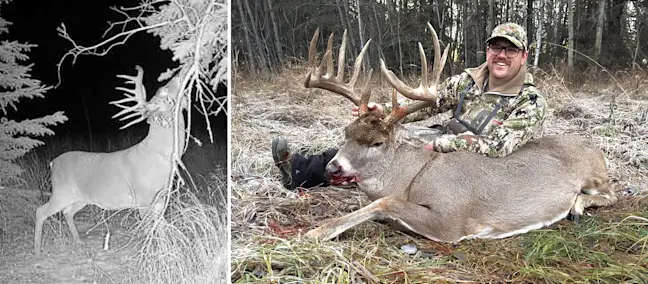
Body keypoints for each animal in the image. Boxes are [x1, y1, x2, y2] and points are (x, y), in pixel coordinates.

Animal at [34, 66, 186, 255]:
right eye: (164, 94)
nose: (179, 73)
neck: (159, 156)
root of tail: (52, 162)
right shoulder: (142, 197)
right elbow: (147, 227)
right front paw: (149, 252)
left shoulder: (161, 198)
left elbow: (161, 226)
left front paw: (167, 250)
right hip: (61, 191)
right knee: (41, 211)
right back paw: (37, 250)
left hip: (80, 197)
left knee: (67, 212)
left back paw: (79, 241)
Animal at [302, 23, 616, 243]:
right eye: (346, 132)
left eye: (377, 142)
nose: (333, 168)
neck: (413, 177)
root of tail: (597, 149)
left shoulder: (450, 220)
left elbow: (385, 201)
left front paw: (314, 233)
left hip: (593, 176)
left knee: (610, 193)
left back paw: (577, 206)